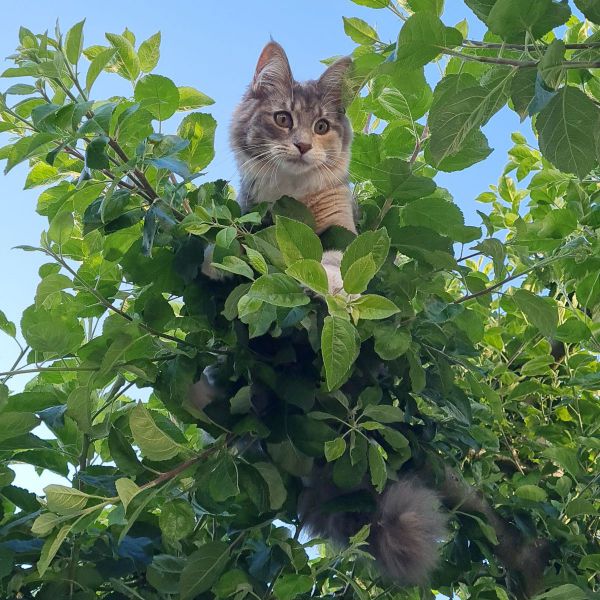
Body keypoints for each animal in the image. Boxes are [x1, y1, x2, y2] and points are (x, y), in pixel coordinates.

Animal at [193, 41, 446, 584]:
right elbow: (239, 241)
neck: (293, 200)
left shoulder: (344, 234)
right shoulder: (256, 219)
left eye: (324, 125)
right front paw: (216, 260)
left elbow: (330, 262)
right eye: (284, 119)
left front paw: (327, 284)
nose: (305, 145)